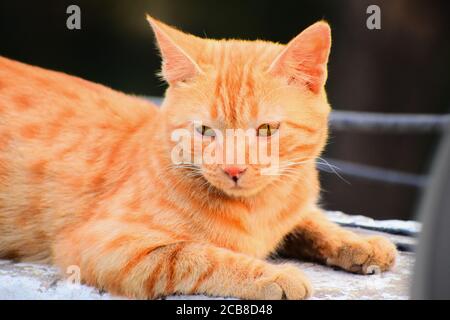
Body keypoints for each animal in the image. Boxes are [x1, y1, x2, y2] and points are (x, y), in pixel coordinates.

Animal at [0, 16, 394, 298]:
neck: (259, 210)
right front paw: (272, 274)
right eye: (205, 131)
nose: (233, 168)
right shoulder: (101, 244)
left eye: (266, 129)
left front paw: (359, 243)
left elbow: (311, 221)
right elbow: (196, 255)